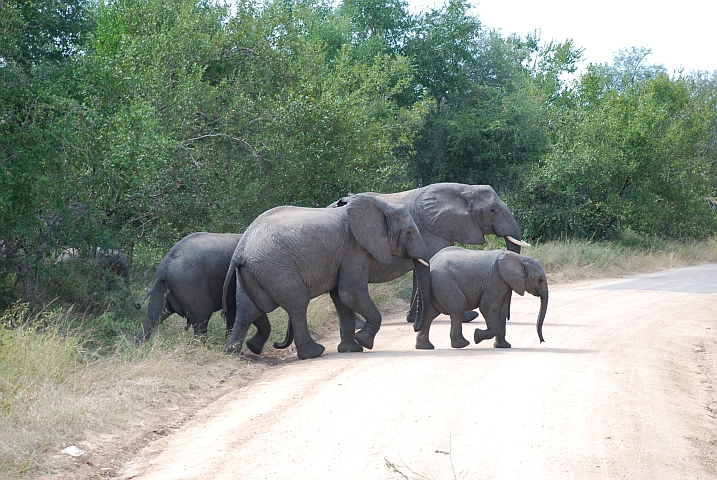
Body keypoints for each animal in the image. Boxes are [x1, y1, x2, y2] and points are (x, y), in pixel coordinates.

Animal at [133, 231, 270, 350]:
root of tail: (164, 267)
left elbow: (234, 310)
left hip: (162, 287)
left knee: (154, 316)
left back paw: (139, 346)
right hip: (190, 285)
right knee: (202, 317)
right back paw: (200, 348)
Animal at [222, 193, 430, 358]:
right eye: (409, 233)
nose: (413, 326)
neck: (381, 206)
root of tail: (240, 249)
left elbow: (341, 298)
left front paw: (351, 349)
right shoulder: (354, 248)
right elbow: (350, 293)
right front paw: (364, 341)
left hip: (250, 272)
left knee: (247, 310)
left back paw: (237, 354)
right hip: (275, 267)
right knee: (297, 303)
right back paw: (314, 353)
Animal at [332, 182, 528, 324]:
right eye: (492, 210)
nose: (507, 317)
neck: (464, 189)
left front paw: (413, 318)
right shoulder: (433, 231)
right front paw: (467, 316)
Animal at [414, 248, 548, 348]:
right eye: (540, 280)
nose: (542, 341)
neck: (520, 258)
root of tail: (430, 262)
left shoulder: (505, 284)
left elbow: (502, 310)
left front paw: (504, 346)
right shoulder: (495, 280)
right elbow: (487, 308)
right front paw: (476, 336)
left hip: (436, 286)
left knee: (431, 313)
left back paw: (425, 347)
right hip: (445, 282)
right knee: (458, 308)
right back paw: (462, 344)